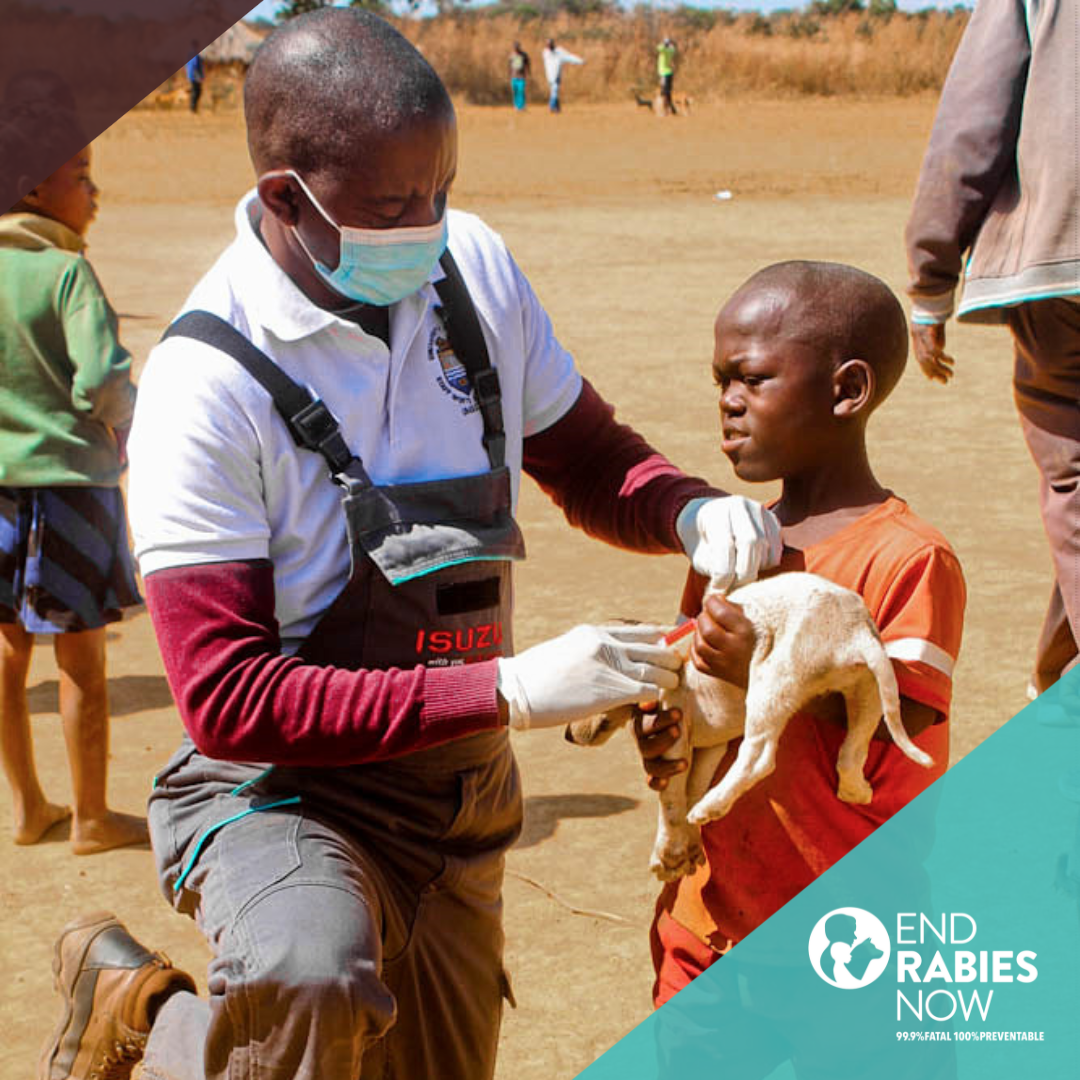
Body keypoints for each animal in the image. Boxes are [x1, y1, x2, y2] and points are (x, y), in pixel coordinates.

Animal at [570, 570, 933, 881]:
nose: (568, 736)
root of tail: (854, 629)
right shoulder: (709, 746)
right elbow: (689, 787)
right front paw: (685, 848)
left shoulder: (673, 727)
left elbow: (671, 798)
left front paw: (669, 853)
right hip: (866, 690)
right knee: (853, 750)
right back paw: (855, 790)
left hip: (773, 679)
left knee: (760, 758)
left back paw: (711, 806)